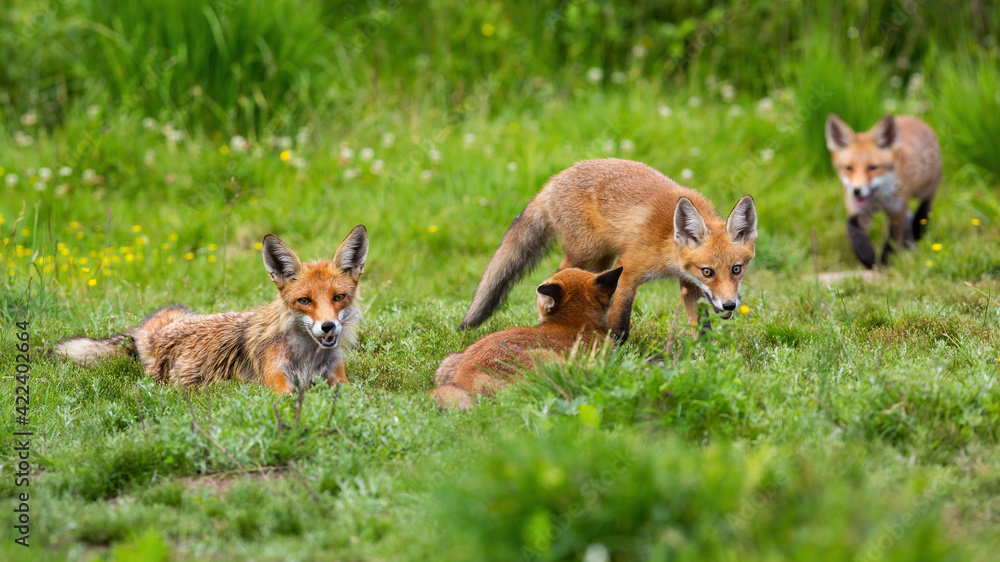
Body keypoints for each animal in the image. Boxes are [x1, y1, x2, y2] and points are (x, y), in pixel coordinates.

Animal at [53, 226, 369, 393]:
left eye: (339, 297)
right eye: (305, 301)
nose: (328, 327)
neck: (308, 358)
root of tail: (148, 330)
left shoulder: (339, 378)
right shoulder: (276, 381)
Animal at [458, 158, 758, 341]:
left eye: (736, 269)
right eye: (708, 271)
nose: (730, 305)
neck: (668, 242)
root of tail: (552, 181)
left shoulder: (688, 285)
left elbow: (702, 329)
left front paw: (706, 361)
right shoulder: (629, 269)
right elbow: (621, 325)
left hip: (601, 262)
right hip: (586, 253)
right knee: (554, 278)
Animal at [824, 114, 942, 268]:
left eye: (873, 168)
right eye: (848, 168)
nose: (856, 190)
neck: (878, 199)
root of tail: (913, 118)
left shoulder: (897, 211)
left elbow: (891, 240)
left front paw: (886, 262)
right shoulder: (858, 211)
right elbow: (853, 230)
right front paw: (867, 256)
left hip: (925, 191)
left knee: (922, 213)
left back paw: (917, 238)